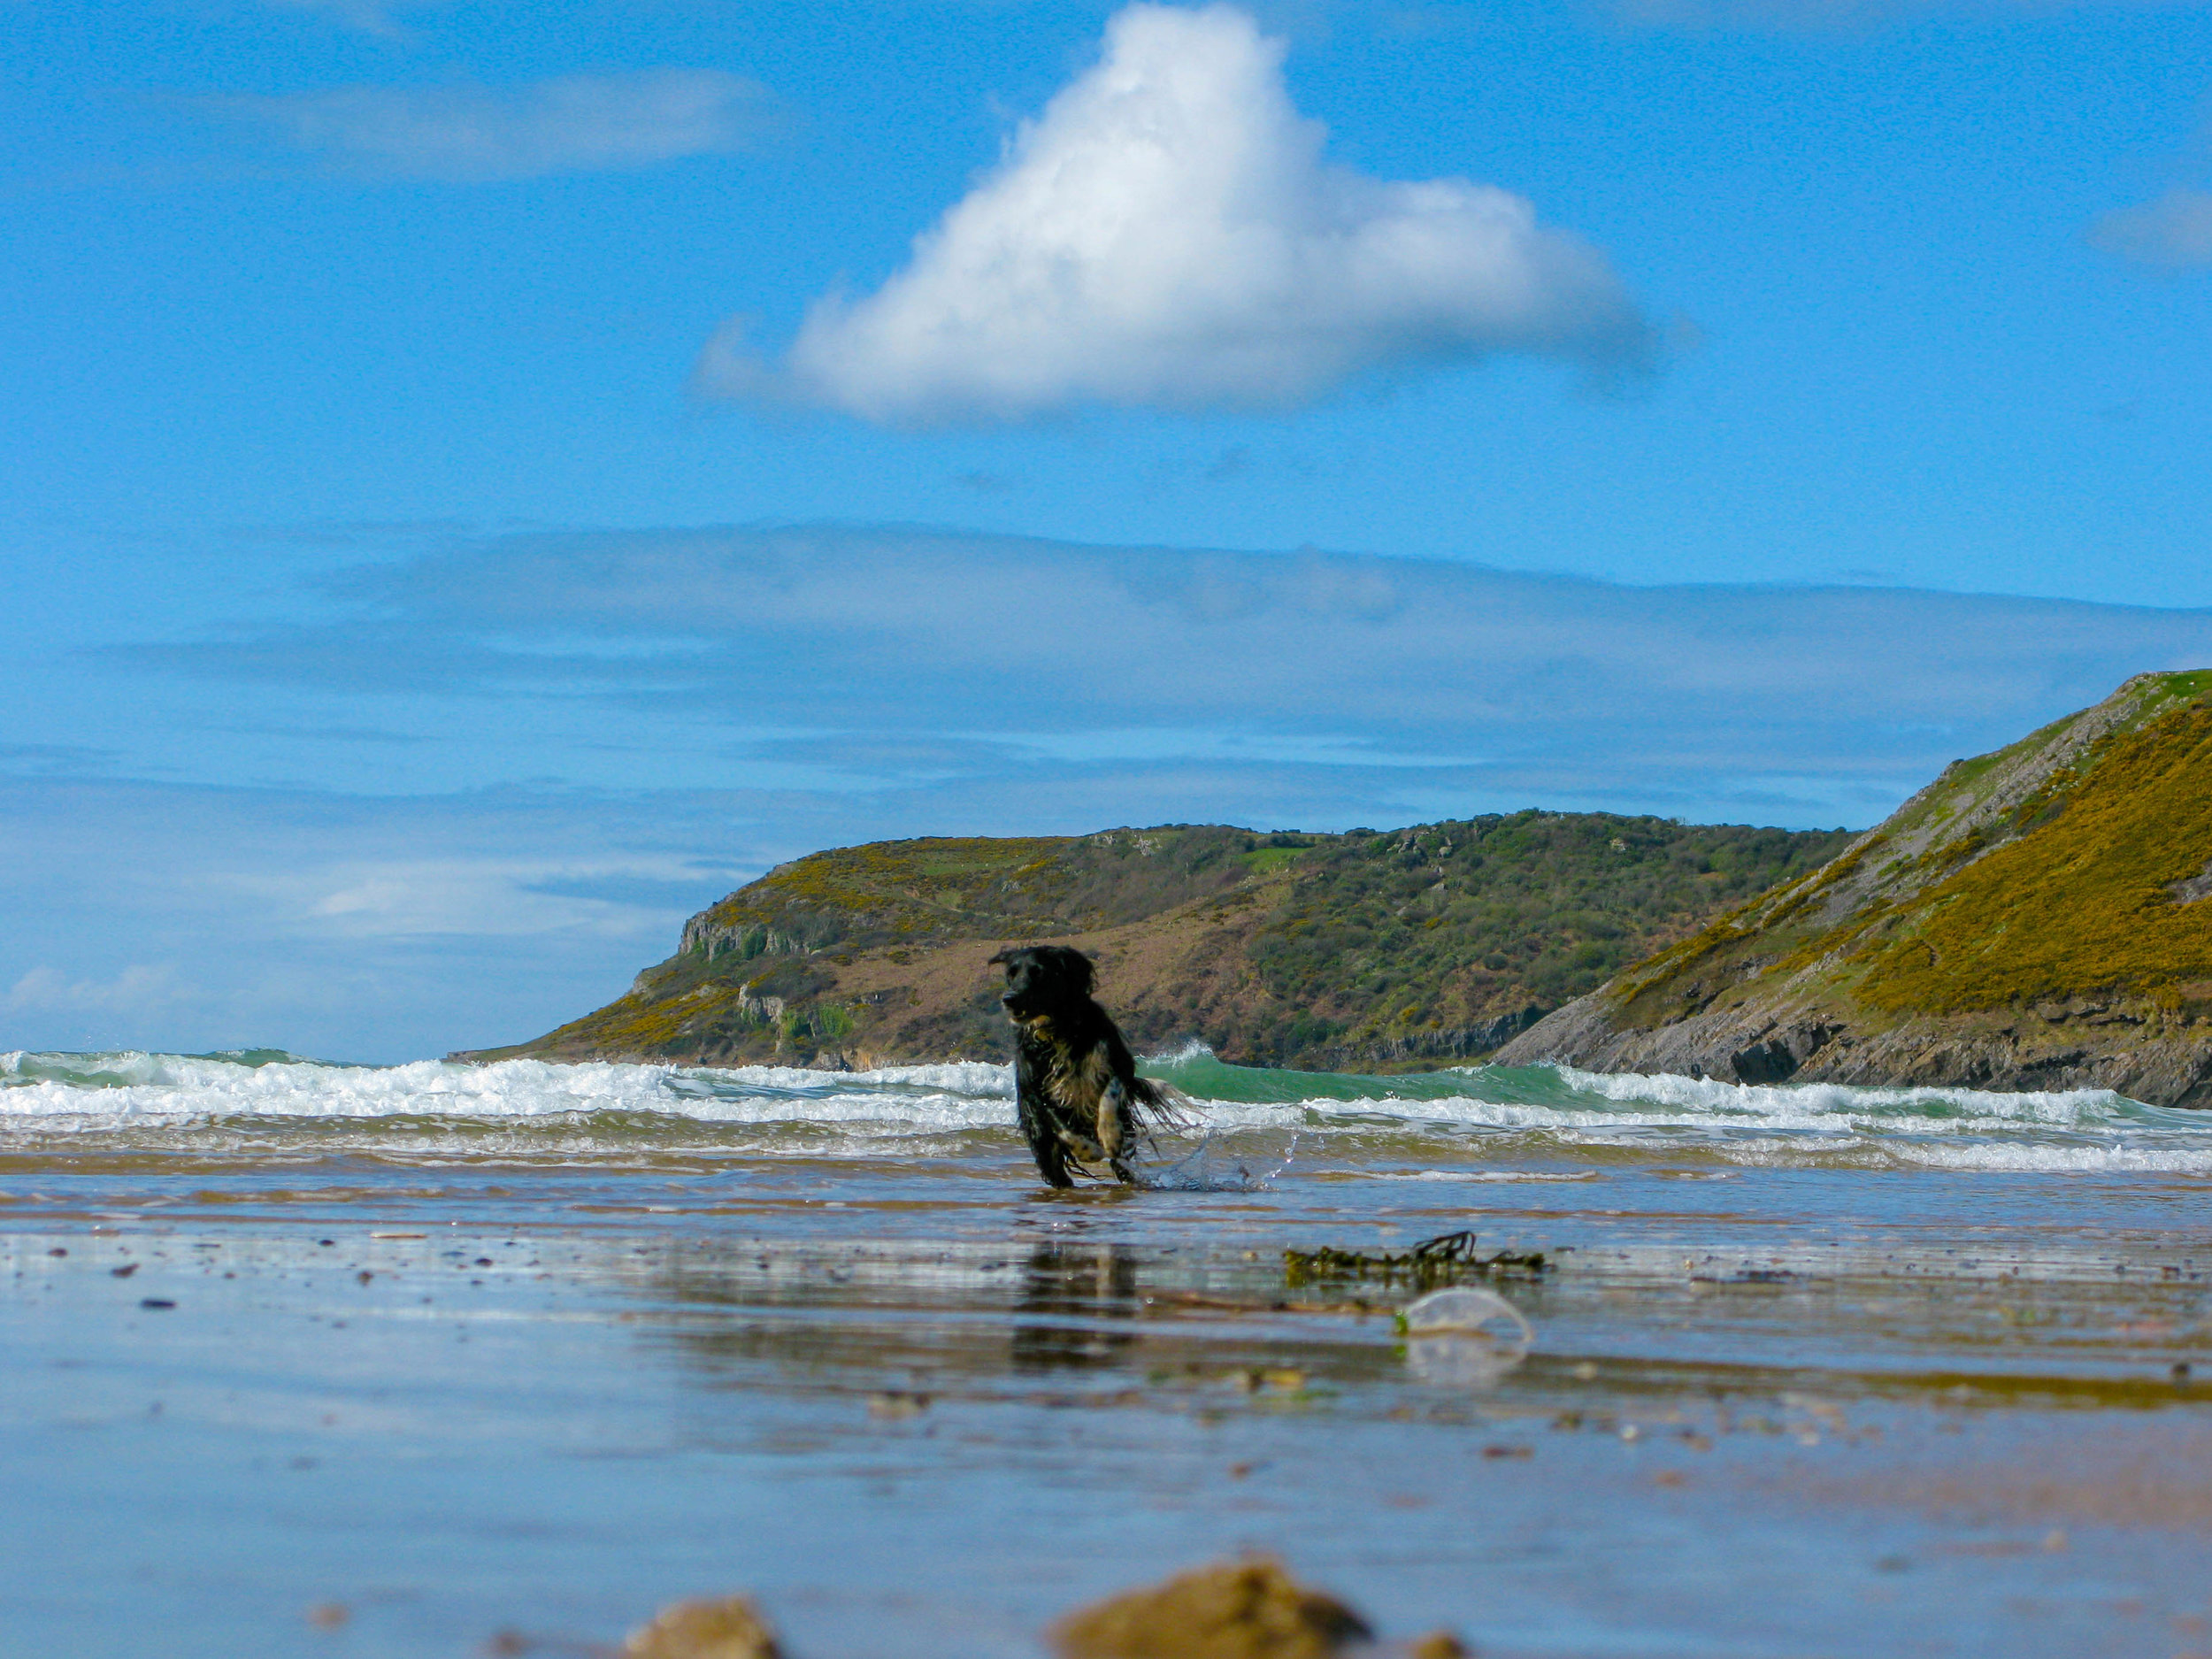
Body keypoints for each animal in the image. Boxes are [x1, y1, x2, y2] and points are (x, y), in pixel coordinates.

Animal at [991, 947, 1186, 1186]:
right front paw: (1086, 1149)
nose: (1009, 999)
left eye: (1039, 973)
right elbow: (1056, 1120)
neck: (1059, 1029)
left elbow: (1109, 1097)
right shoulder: (1034, 1086)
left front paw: (1110, 1136)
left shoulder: (1118, 1064)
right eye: (1012, 973)